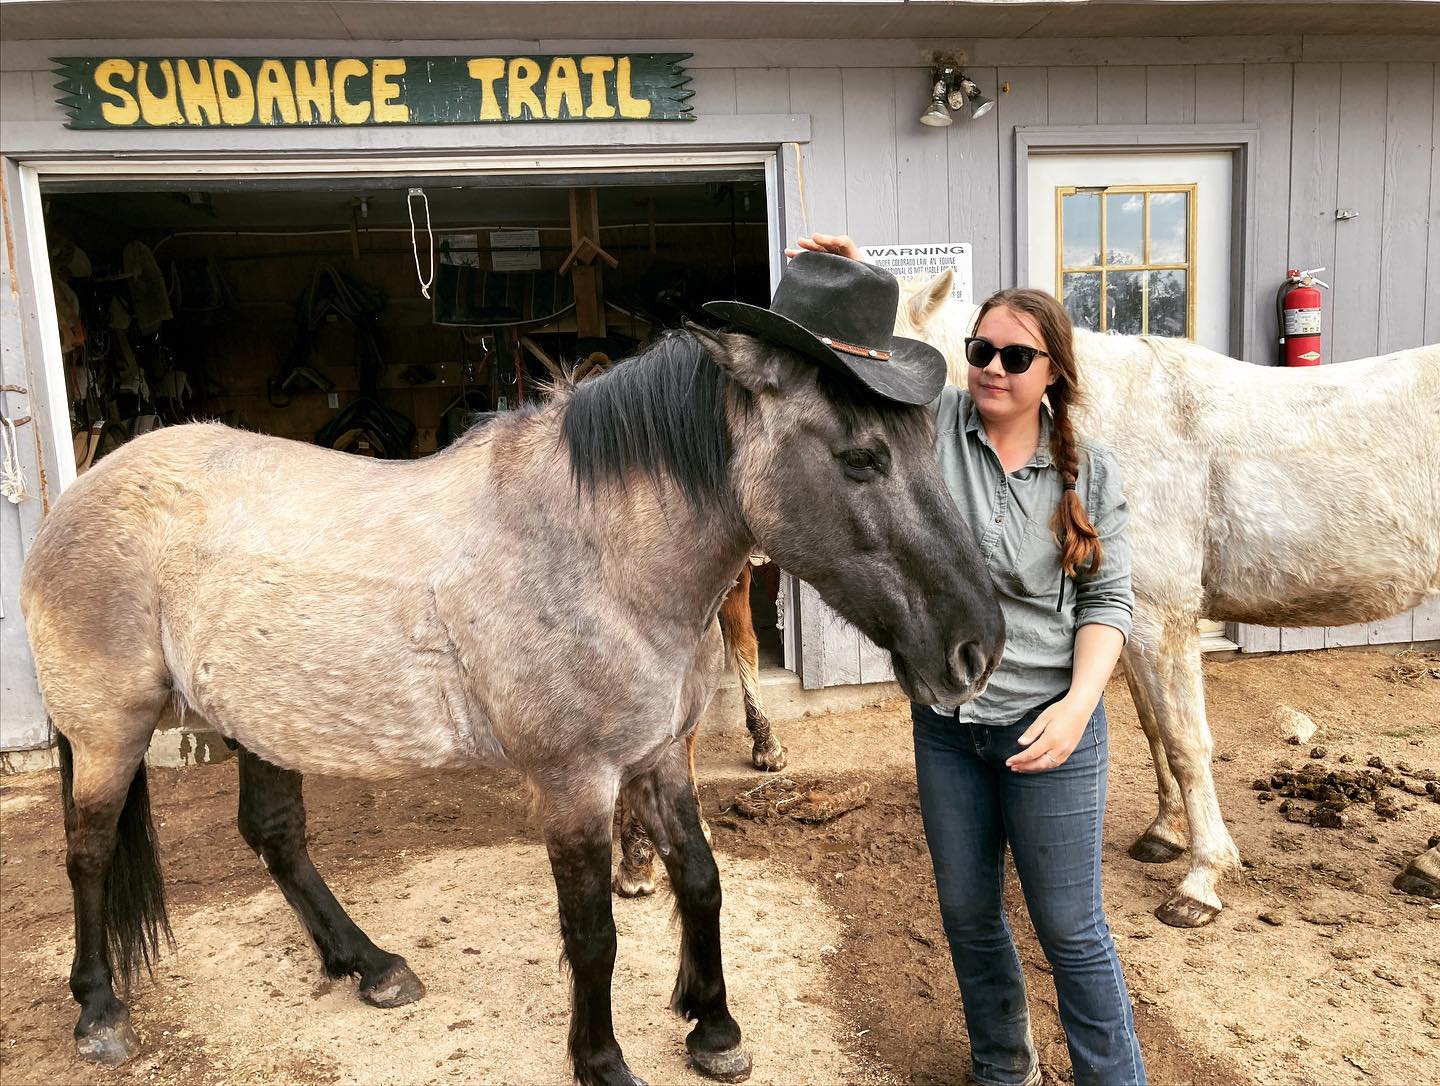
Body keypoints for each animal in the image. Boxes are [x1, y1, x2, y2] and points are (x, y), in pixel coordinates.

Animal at [16, 328, 1002, 1083]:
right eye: (861, 457)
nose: (977, 649)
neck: (598, 552)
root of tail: (78, 497)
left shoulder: (657, 759)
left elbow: (700, 880)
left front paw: (713, 1027)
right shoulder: (574, 784)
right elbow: (593, 930)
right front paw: (602, 1061)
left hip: (264, 722)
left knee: (274, 835)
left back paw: (369, 965)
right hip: (110, 733)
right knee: (88, 852)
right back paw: (100, 1011)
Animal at [898, 270, 1440, 921]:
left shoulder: (1163, 618)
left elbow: (1185, 741)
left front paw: (1201, 879)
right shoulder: (1128, 620)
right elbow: (1155, 726)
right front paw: (1165, 834)